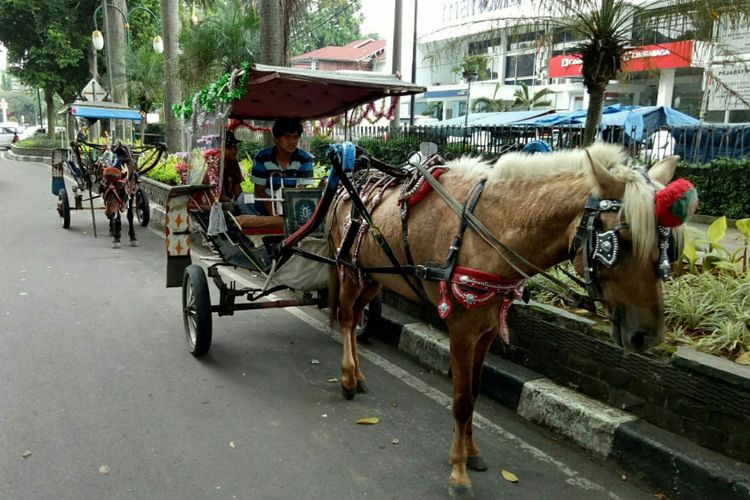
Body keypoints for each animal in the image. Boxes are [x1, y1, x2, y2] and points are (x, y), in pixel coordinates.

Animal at [326, 143, 692, 498]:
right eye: (622, 244)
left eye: (669, 248)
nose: (648, 336)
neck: (490, 230)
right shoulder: (462, 330)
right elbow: (461, 400)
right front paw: (458, 471)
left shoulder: (486, 330)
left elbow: (474, 394)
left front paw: (472, 452)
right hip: (349, 270)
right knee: (347, 320)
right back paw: (347, 378)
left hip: (373, 276)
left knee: (357, 318)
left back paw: (359, 376)